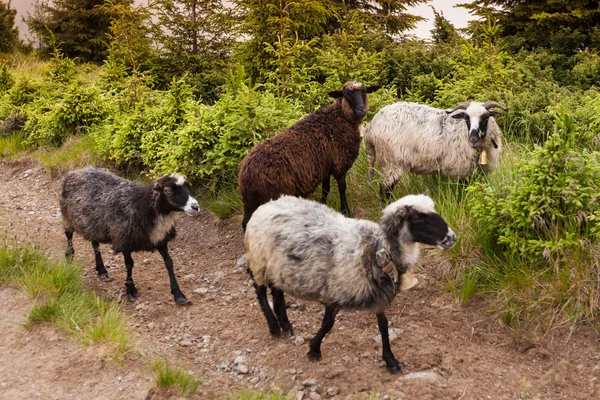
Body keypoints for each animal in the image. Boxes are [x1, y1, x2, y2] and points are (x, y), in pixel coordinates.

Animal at [238, 81, 380, 230]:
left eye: (364, 91)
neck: (340, 118)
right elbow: (342, 189)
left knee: (245, 223)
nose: (361, 110)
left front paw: (322, 205)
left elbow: (325, 190)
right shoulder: (340, 165)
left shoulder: (326, 168)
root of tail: (245, 172)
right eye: (346, 94)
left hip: (250, 201)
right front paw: (346, 211)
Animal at [244, 194, 454, 372]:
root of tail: (269, 203)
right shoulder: (335, 290)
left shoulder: (376, 292)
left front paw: (390, 360)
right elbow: (328, 323)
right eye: (418, 219)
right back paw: (274, 326)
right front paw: (314, 349)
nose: (451, 237)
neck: (377, 249)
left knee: (277, 291)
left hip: (277, 268)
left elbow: (383, 325)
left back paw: (286, 325)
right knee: (260, 291)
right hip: (259, 262)